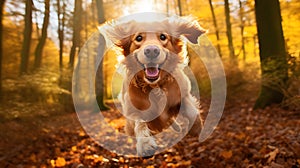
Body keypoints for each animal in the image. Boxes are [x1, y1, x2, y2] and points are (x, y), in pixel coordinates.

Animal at [101, 14, 206, 158]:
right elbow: (140, 124)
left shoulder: (183, 95)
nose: (151, 51)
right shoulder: (134, 111)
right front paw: (145, 145)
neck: (155, 86)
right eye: (139, 38)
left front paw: (196, 127)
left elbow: (191, 111)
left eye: (163, 36)